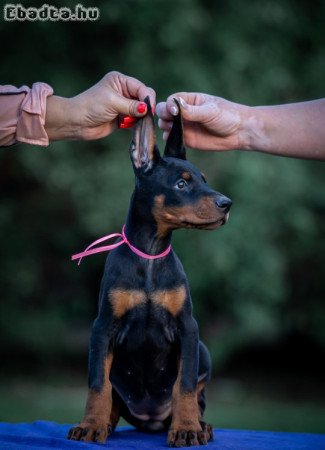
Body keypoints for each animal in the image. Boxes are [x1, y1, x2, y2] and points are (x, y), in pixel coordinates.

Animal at [67, 98, 230, 446]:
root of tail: (151, 421)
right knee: (112, 397)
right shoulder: (103, 327)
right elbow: (97, 384)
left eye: (204, 179)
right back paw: (105, 424)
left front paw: (186, 429)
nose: (227, 203)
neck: (151, 255)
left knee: (198, 395)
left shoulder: (188, 328)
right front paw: (89, 425)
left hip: (203, 350)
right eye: (182, 183)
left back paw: (200, 425)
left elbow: (185, 386)